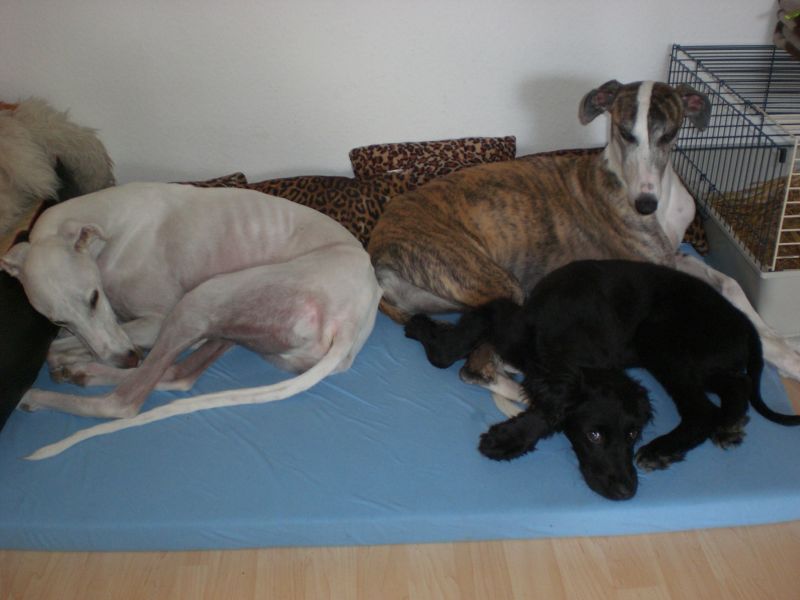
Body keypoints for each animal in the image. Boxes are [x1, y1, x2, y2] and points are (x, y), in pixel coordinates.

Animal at [0, 182, 381, 459]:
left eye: (94, 298)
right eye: (57, 318)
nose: (126, 359)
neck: (110, 228)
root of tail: (351, 322)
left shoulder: (156, 320)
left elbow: (65, 347)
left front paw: (72, 360)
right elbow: (66, 343)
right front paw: (77, 358)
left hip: (202, 299)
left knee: (124, 400)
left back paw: (41, 392)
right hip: (242, 328)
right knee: (178, 373)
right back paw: (86, 372)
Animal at [368, 80, 800, 400]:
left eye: (670, 135)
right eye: (624, 133)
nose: (644, 205)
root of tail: (377, 249)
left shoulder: (674, 256)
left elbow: (731, 284)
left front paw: (785, 350)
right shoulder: (658, 271)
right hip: (496, 282)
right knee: (479, 367)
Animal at [405, 260, 800, 500]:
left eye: (632, 434)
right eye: (594, 436)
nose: (627, 491)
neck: (578, 343)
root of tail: (747, 325)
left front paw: (508, 439)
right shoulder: (505, 318)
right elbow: (449, 350)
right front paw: (425, 330)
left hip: (663, 342)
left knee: (703, 409)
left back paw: (662, 450)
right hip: (700, 361)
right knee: (736, 387)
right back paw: (728, 427)